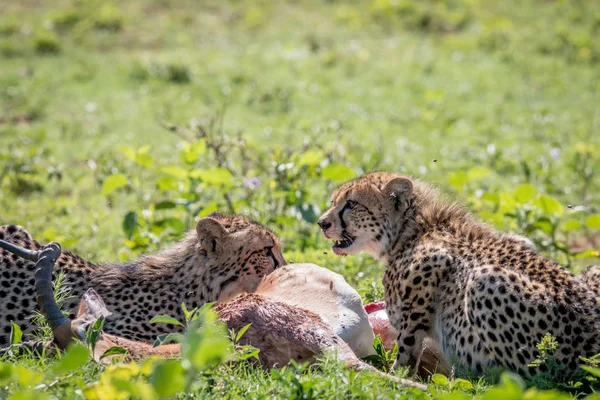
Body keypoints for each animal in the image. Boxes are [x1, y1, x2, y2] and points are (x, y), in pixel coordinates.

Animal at [316, 171, 596, 378]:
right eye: (333, 202)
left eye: (351, 204)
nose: (322, 223)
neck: (410, 230)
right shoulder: (521, 240)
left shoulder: (432, 266)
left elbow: (407, 349)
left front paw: (395, 377)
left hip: (484, 281)